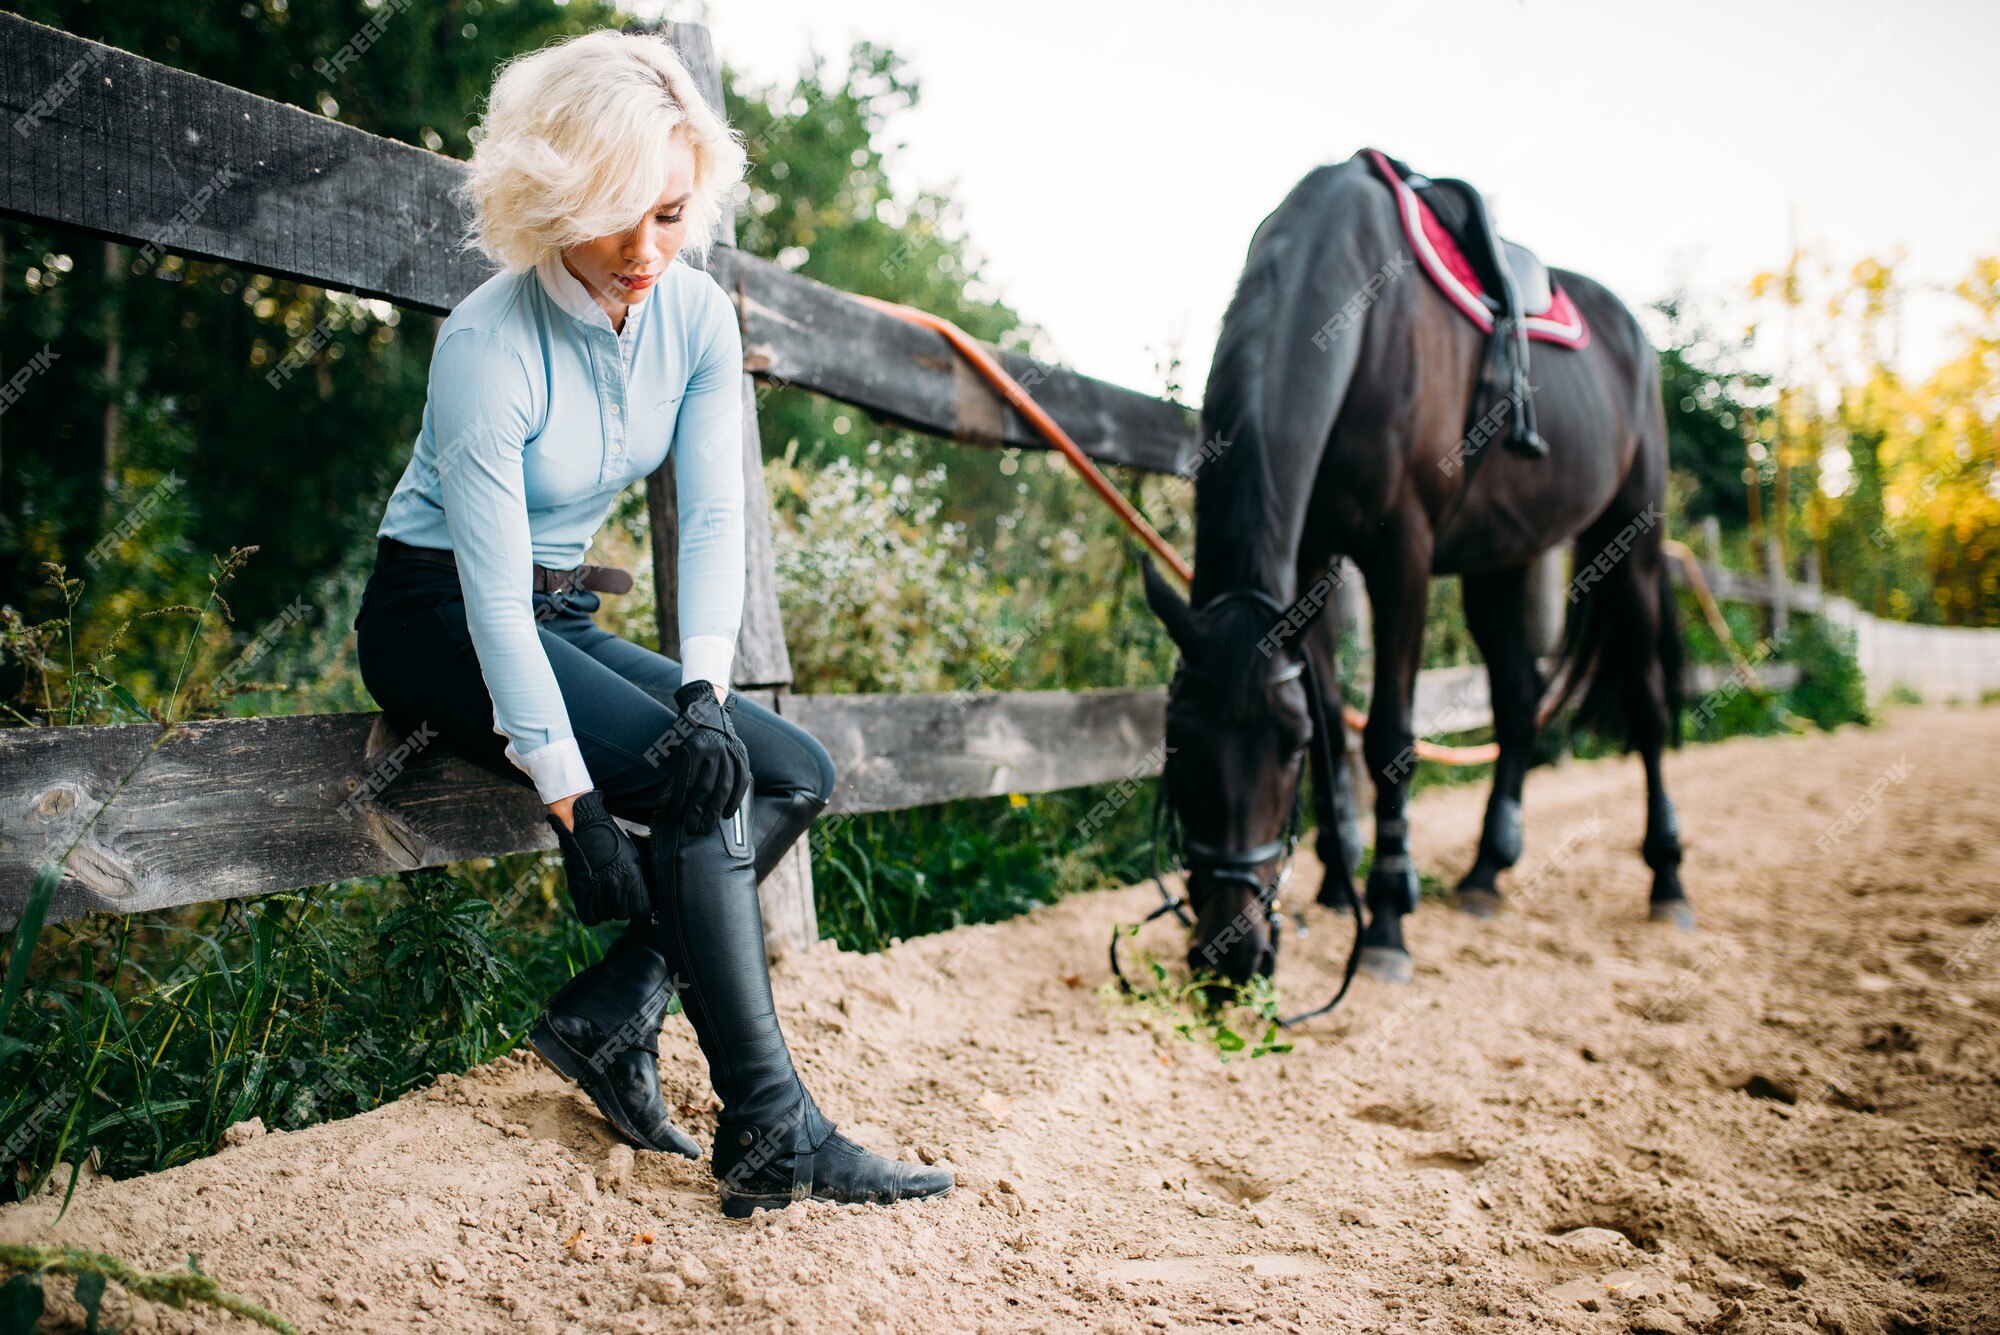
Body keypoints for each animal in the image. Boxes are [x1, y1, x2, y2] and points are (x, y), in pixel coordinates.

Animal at [1144, 153, 1688, 991]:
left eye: (1285, 750)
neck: (1363, 317)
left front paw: (1387, 921)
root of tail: (1634, 335)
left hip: (1632, 541)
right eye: (1177, 742)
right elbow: (1336, 713)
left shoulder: (1402, 553)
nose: (1229, 954)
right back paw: (1486, 872)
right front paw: (1341, 883)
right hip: (1504, 559)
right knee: (1518, 699)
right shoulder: (1311, 559)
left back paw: (1667, 878)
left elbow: (1388, 735)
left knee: (1648, 702)